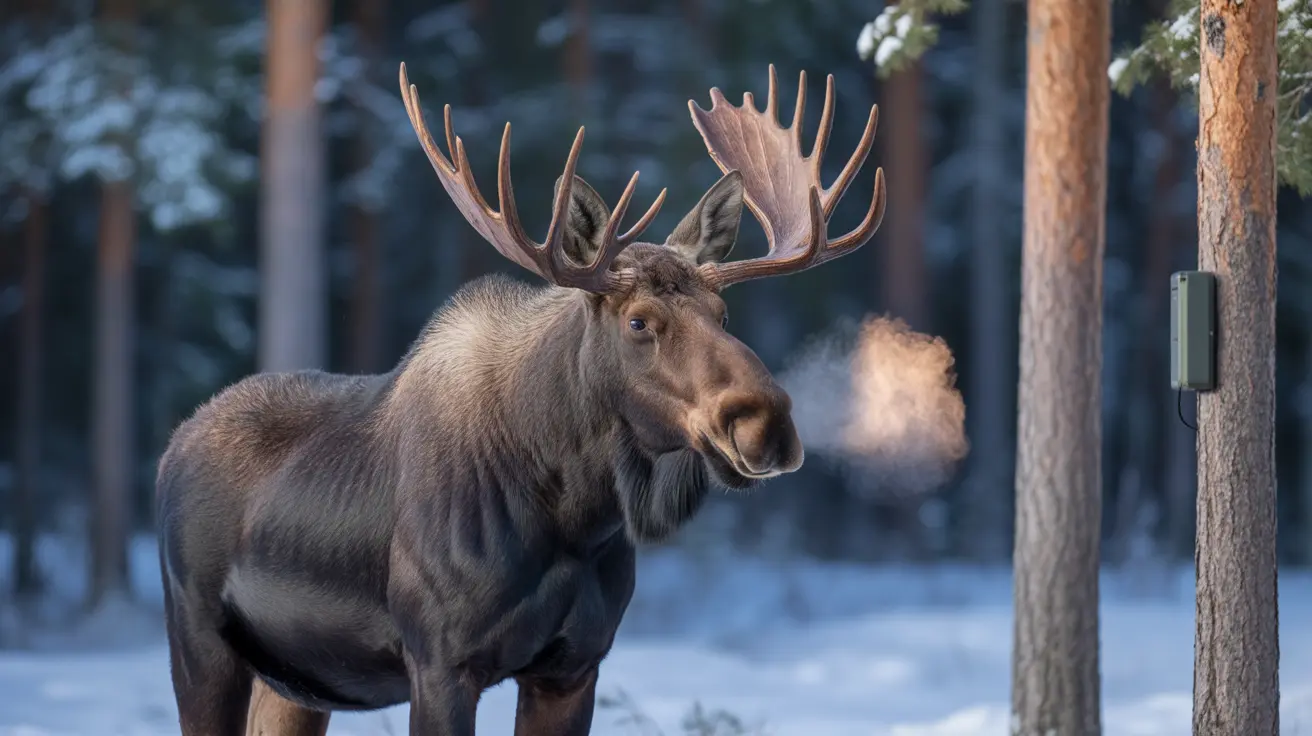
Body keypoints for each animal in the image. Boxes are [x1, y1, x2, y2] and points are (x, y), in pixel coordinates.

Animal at [155, 62, 885, 736]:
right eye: (638, 321)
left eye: (723, 313)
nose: (766, 422)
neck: (574, 514)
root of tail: (171, 448)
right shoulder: (441, 662)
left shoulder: (575, 664)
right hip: (198, 641)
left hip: (299, 683)